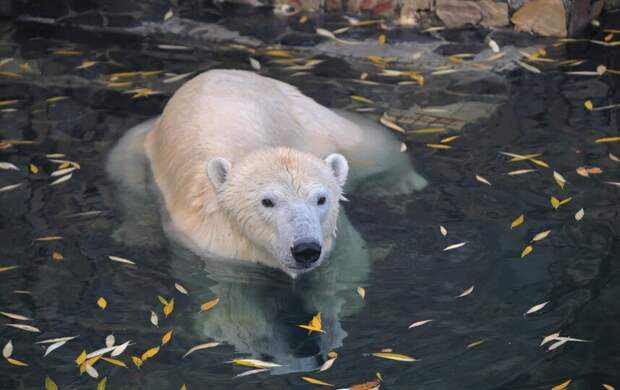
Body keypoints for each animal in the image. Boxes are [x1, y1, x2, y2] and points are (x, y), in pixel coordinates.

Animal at [106, 70, 426, 278]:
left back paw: (404, 182)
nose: (305, 249)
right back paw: (136, 235)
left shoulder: (335, 238)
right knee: (124, 174)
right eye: (267, 201)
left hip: (310, 118)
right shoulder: (211, 247)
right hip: (140, 143)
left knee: (367, 143)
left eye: (321, 199)